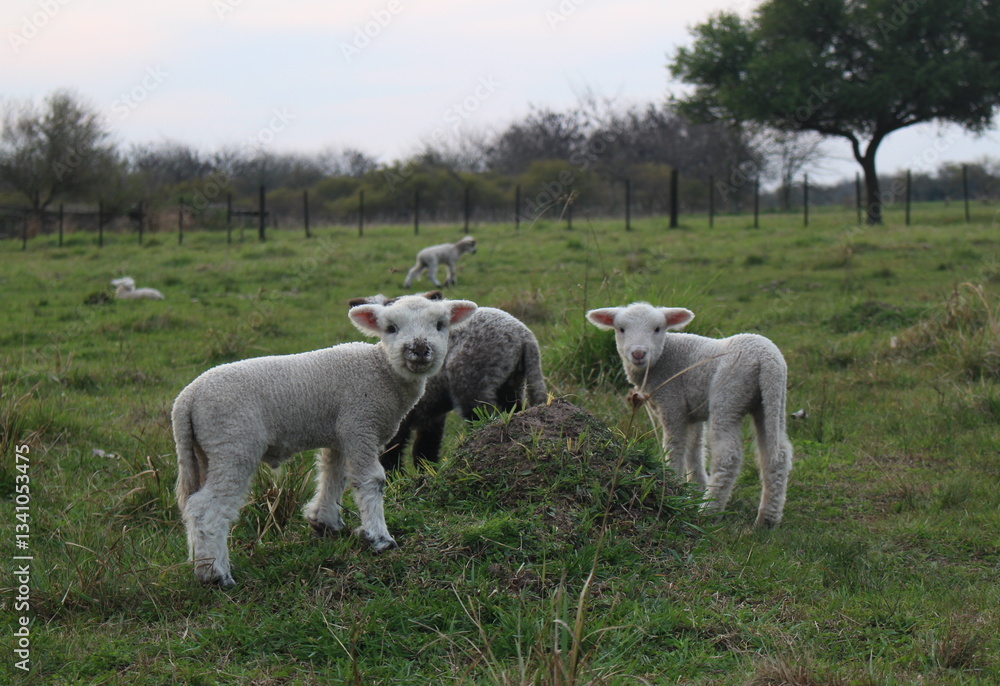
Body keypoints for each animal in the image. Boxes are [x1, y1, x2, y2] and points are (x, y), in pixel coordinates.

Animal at [172, 294, 478, 585]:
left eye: (440, 325)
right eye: (391, 328)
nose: (419, 349)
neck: (381, 371)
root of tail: (186, 399)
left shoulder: (341, 432)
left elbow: (334, 475)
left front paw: (325, 522)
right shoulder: (360, 424)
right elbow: (371, 480)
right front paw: (380, 538)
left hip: (203, 451)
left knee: (191, 505)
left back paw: (201, 561)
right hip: (232, 443)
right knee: (206, 507)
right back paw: (215, 574)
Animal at [349, 292, 548, 471]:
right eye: (391, 328)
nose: (419, 349)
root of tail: (524, 336)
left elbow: (392, 455)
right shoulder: (431, 417)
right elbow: (424, 453)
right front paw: (426, 476)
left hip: (473, 380)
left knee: (485, 417)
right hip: (513, 382)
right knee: (514, 409)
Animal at [586, 303, 792, 528]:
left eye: (658, 328)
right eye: (621, 329)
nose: (638, 353)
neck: (662, 359)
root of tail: (766, 358)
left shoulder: (672, 404)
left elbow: (675, 447)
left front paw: (673, 485)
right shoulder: (692, 413)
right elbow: (694, 449)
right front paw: (695, 490)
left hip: (729, 394)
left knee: (728, 455)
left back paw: (709, 510)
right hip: (771, 401)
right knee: (776, 454)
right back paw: (768, 518)